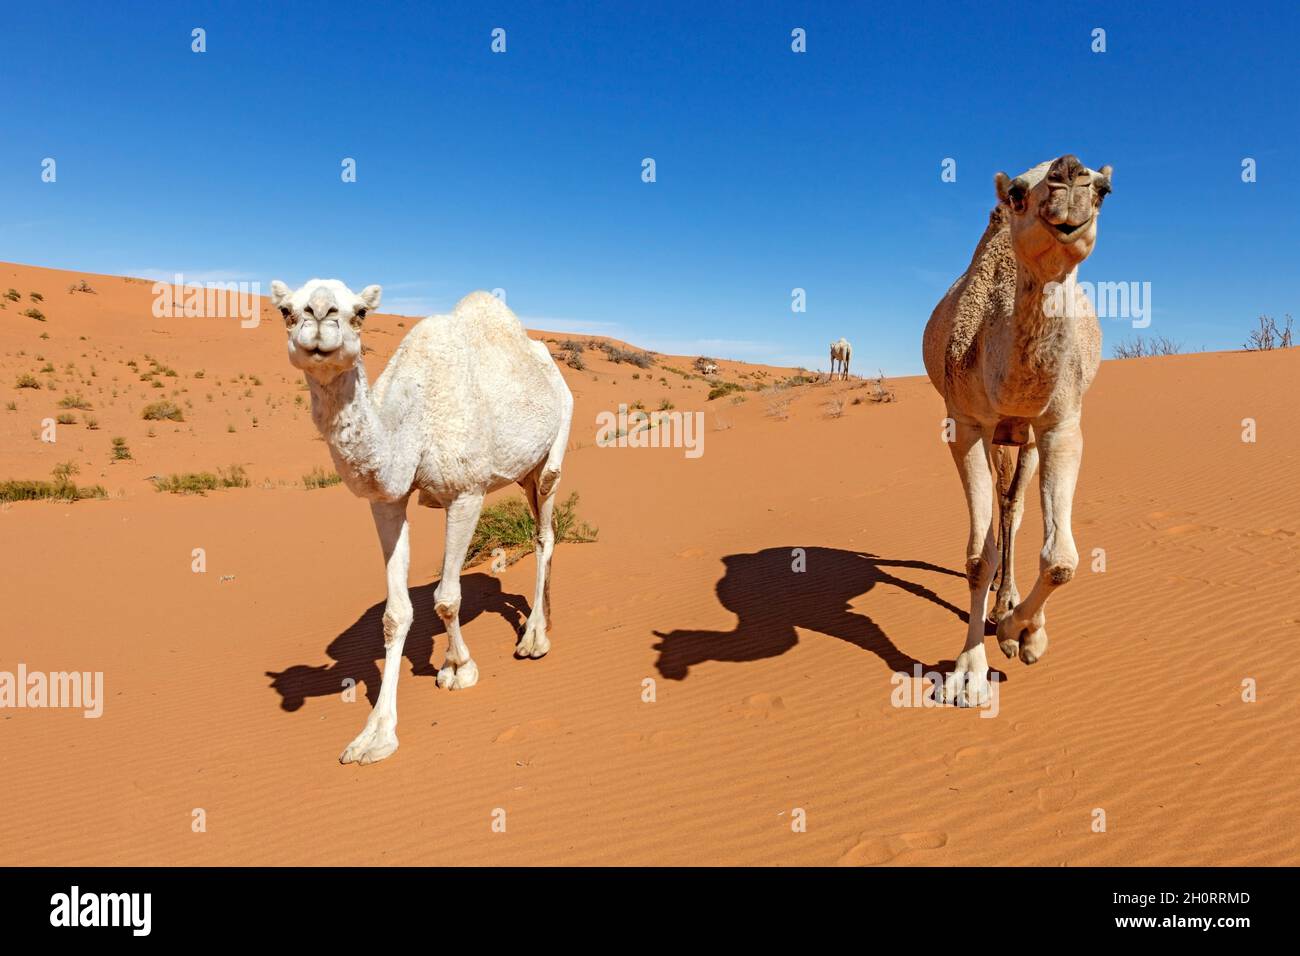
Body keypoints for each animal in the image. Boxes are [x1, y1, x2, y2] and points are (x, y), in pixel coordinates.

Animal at [270, 278, 574, 764]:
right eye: (285, 310)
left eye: (359, 312)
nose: (319, 316)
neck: (411, 420)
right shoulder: (386, 501)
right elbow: (395, 615)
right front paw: (375, 736)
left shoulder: (467, 492)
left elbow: (447, 598)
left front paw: (458, 668)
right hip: (523, 470)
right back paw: (543, 619)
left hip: (556, 438)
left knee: (546, 529)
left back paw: (534, 640)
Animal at [920, 149, 1112, 702]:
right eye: (1018, 194)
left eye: (1103, 191)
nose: (1069, 170)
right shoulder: (965, 424)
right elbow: (977, 556)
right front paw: (967, 674)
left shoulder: (1060, 423)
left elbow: (1062, 559)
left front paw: (1021, 634)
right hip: (999, 433)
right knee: (1002, 512)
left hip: (1022, 436)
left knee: (1013, 508)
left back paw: (1009, 609)